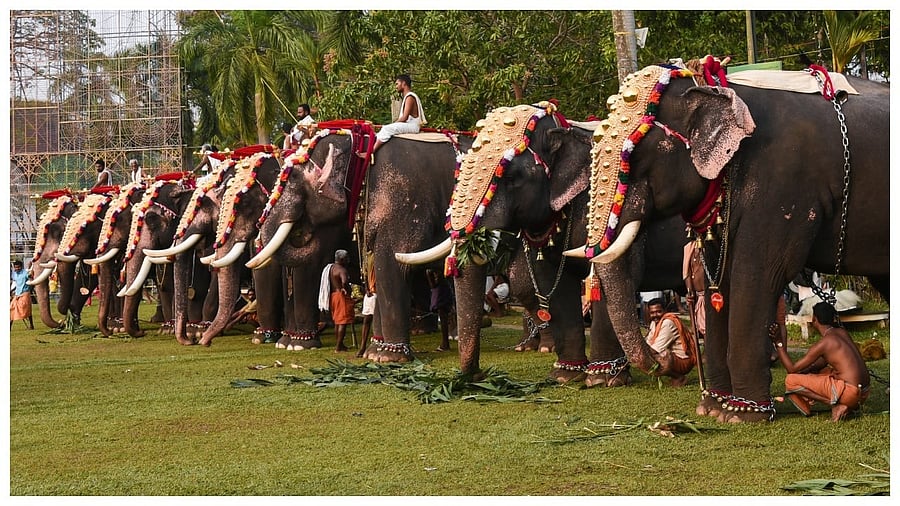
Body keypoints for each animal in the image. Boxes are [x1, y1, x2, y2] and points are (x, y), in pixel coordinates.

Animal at [568, 65, 888, 422]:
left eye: (634, 158)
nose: (662, 362)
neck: (716, 87)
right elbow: (718, 283)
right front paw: (713, 409)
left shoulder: (781, 187)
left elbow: (758, 275)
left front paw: (742, 415)